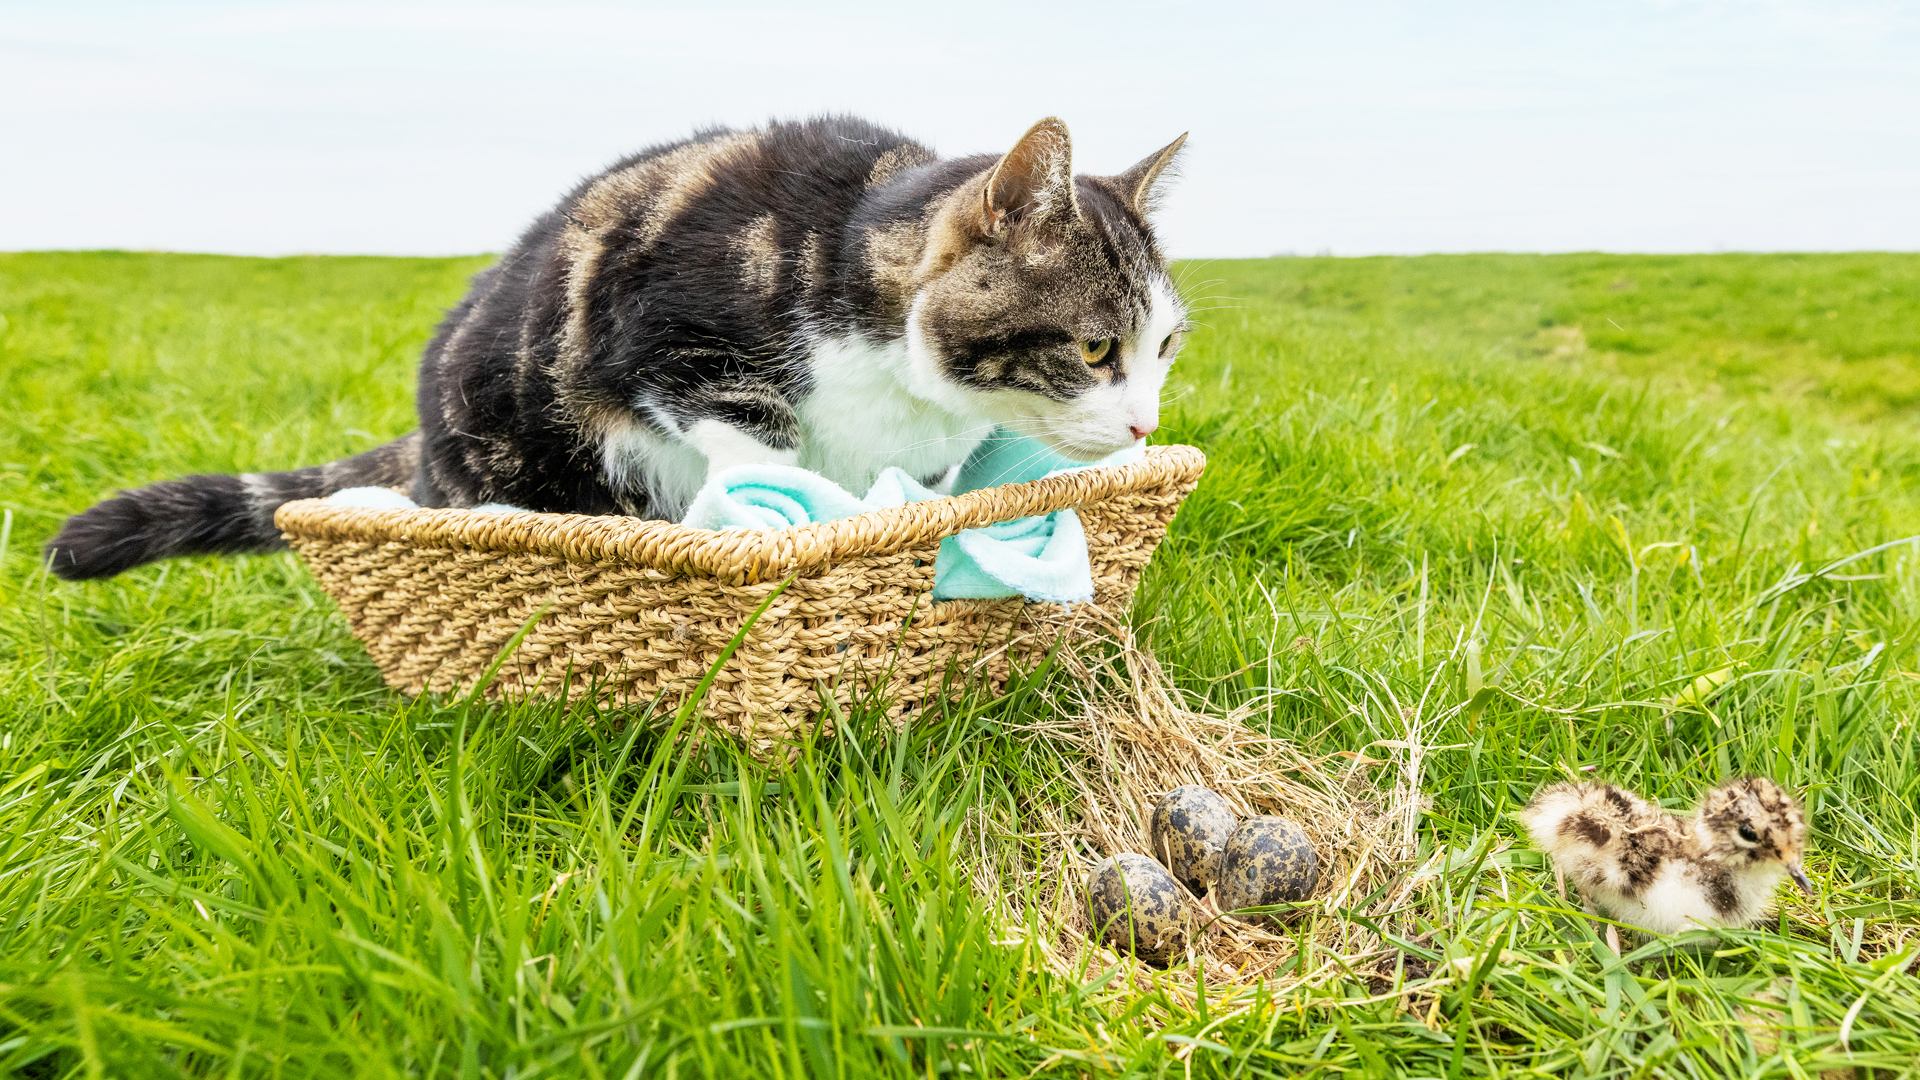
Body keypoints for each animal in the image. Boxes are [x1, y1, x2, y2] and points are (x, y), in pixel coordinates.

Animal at [45, 117, 1182, 580]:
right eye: (1094, 348)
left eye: (1164, 346)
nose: (1146, 423)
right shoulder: (664, 331)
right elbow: (749, 433)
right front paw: (780, 510)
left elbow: (917, 488)